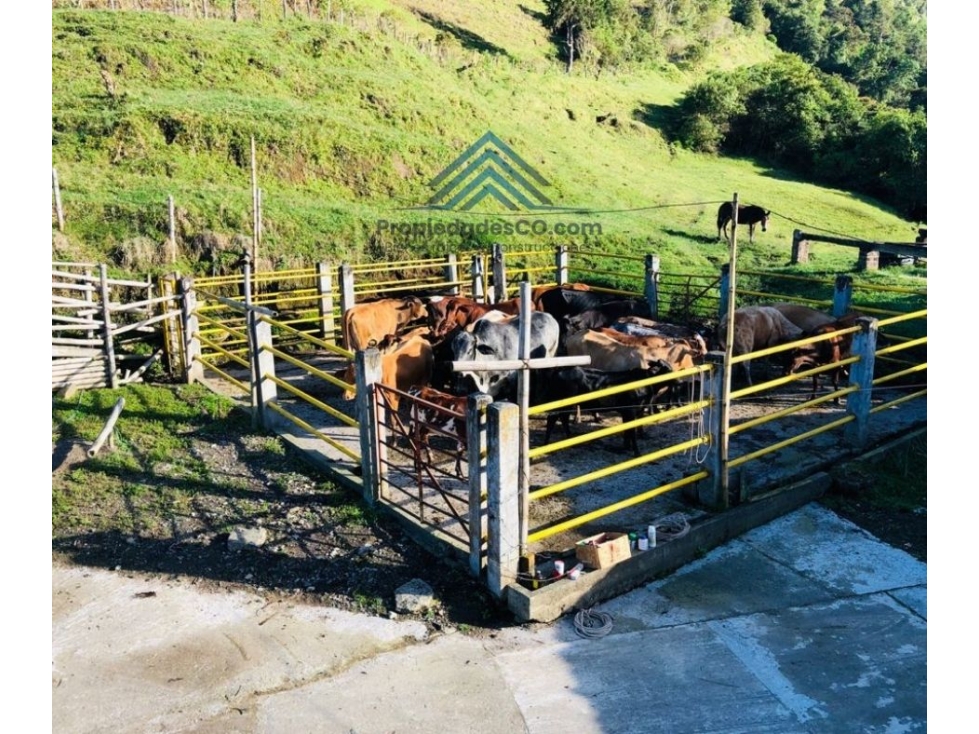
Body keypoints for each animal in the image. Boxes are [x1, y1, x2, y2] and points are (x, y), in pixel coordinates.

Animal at [540, 362, 676, 454]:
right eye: (668, 370)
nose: (677, 380)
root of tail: (560, 369)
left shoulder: (629, 412)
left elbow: (627, 431)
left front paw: (626, 447)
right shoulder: (630, 411)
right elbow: (631, 432)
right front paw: (637, 453)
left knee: (563, 418)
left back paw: (570, 438)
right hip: (561, 403)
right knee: (552, 419)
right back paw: (546, 444)